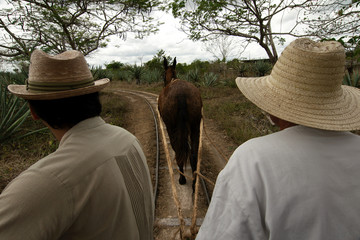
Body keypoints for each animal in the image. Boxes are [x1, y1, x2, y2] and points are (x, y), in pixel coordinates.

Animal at [158, 57, 202, 190]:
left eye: (163, 75)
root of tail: (181, 94)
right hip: (195, 126)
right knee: (193, 154)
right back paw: (194, 183)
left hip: (172, 128)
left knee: (178, 151)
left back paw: (182, 178)